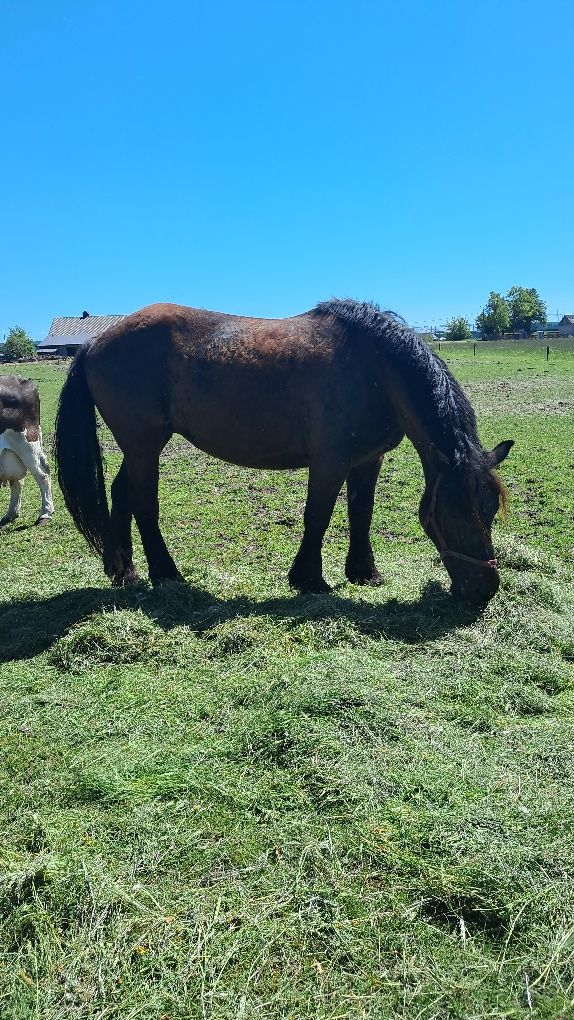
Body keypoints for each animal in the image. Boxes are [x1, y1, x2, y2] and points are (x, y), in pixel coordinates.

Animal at [52, 301, 511, 603]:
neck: (375, 368)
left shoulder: (368, 459)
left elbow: (360, 514)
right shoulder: (329, 461)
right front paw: (308, 579)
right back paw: (166, 575)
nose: (483, 591)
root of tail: (94, 342)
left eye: (489, 510)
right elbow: (318, 516)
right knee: (144, 504)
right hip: (145, 444)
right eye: (455, 512)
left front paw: (364, 573)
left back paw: (124, 572)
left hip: (138, 448)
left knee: (120, 494)